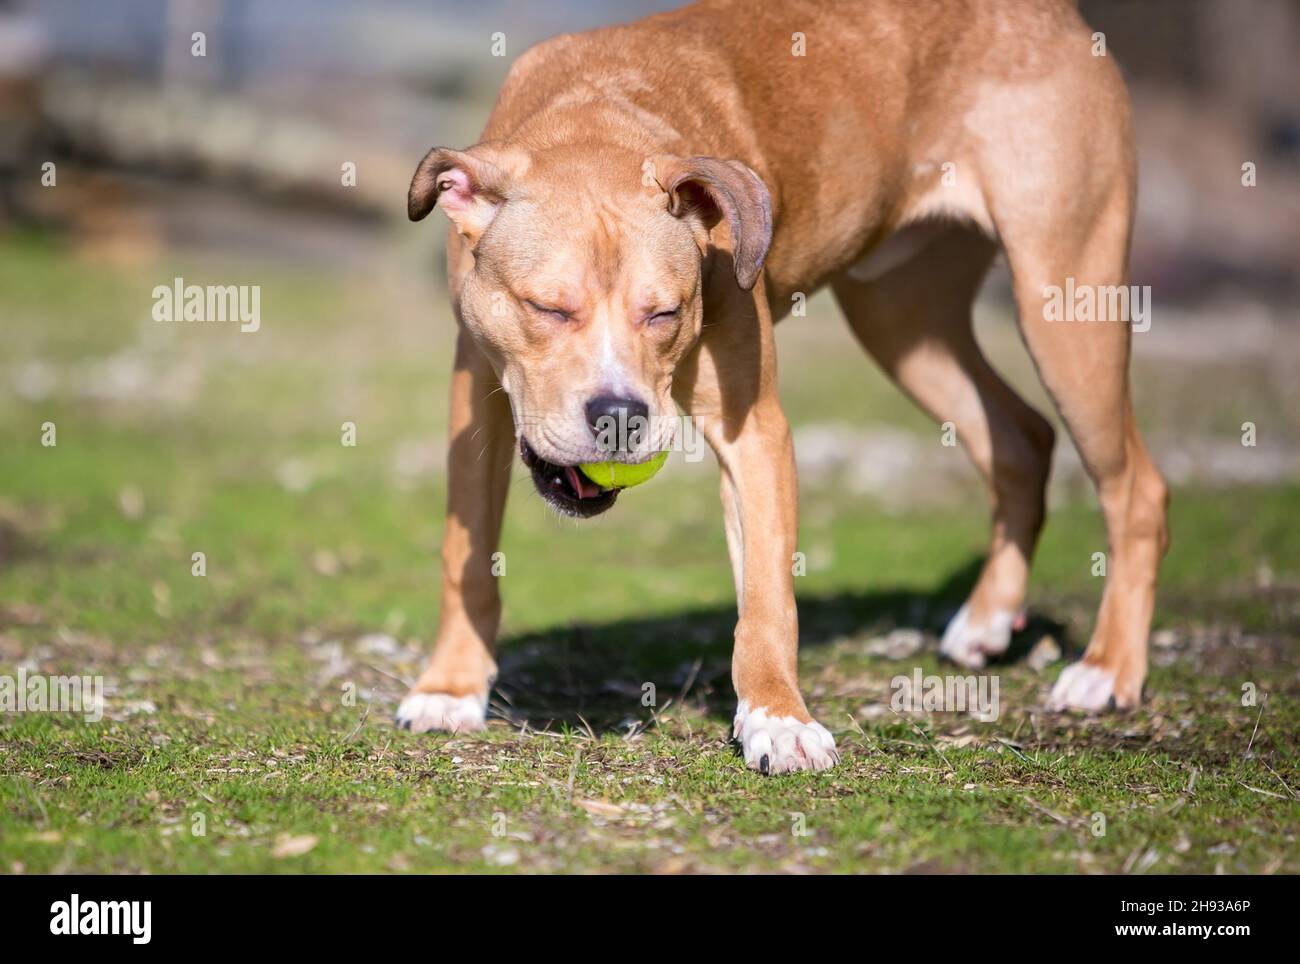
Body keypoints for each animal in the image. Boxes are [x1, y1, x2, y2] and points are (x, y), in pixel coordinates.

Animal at [392, 0, 1170, 774]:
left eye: (665, 312)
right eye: (548, 308)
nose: (619, 416)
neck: (597, 117)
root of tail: (1056, 14)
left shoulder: (755, 429)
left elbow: (768, 598)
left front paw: (777, 719)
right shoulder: (475, 397)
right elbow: (466, 559)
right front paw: (451, 687)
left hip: (1064, 301)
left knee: (1135, 486)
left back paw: (1107, 670)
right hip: (902, 318)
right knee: (1018, 437)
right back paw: (987, 619)